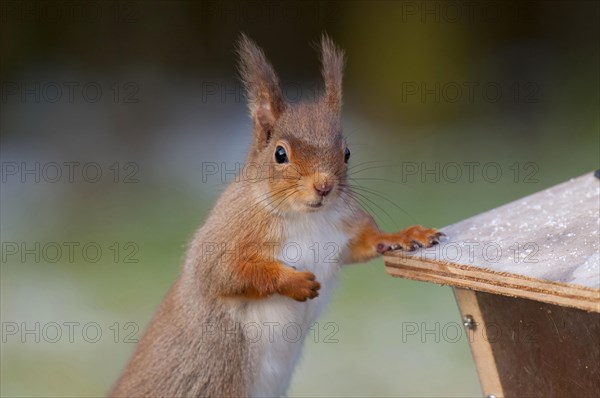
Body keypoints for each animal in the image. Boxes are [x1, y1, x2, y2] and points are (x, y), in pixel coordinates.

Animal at [111, 35, 440, 398]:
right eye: (280, 154)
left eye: (347, 153)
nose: (324, 187)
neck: (306, 217)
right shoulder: (227, 236)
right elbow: (226, 273)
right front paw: (294, 282)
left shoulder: (341, 232)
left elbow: (367, 243)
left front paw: (405, 235)